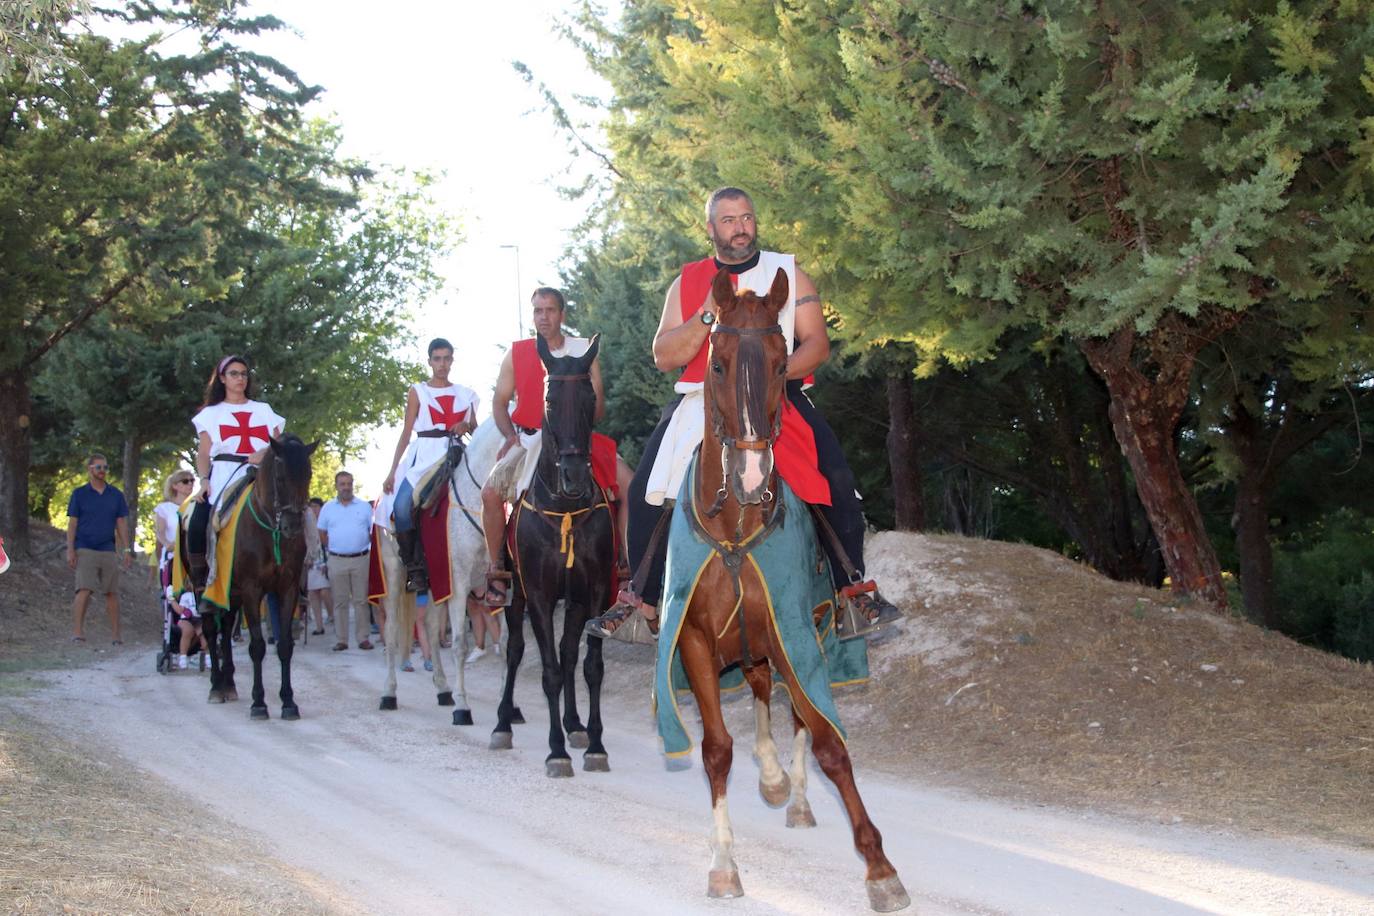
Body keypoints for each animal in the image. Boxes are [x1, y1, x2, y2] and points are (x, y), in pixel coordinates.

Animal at [199, 433, 316, 719]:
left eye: (308, 475)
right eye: (280, 477)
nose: (292, 526)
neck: (270, 530)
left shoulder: (287, 588)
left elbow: (284, 645)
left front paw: (288, 702)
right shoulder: (252, 590)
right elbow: (258, 646)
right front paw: (259, 703)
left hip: (231, 592)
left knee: (226, 625)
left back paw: (229, 683)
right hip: (203, 585)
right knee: (211, 629)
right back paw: (216, 686)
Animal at [379, 420, 502, 725]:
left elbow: (505, 643)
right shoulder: (458, 586)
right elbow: (458, 645)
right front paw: (463, 707)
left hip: (435, 584)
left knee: (431, 629)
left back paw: (443, 689)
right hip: (395, 576)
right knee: (391, 630)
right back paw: (389, 693)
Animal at [483, 333, 612, 780]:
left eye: (590, 397)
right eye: (550, 400)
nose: (574, 476)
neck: (565, 509)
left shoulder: (593, 593)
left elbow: (588, 666)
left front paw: (595, 744)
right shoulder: (538, 595)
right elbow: (550, 671)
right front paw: (556, 752)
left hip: (571, 601)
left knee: (569, 653)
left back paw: (574, 724)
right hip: (515, 593)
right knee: (516, 650)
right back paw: (502, 722)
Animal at [659, 269, 906, 911]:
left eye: (779, 363)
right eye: (717, 363)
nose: (751, 479)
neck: (735, 527)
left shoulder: (794, 627)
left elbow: (828, 743)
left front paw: (880, 869)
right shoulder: (694, 642)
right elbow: (715, 749)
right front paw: (724, 865)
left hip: (805, 632)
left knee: (792, 713)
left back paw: (790, 796)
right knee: (760, 694)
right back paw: (770, 778)